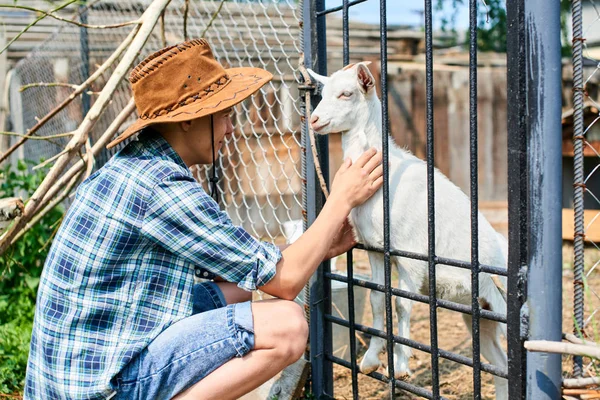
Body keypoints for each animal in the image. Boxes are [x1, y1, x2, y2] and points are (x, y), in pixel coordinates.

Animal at [308, 64, 508, 398]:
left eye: (346, 93)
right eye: (322, 93)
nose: (314, 120)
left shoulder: (412, 256)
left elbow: (402, 303)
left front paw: (401, 366)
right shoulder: (376, 250)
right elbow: (378, 300)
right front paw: (370, 361)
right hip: (479, 311)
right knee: (500, 366)